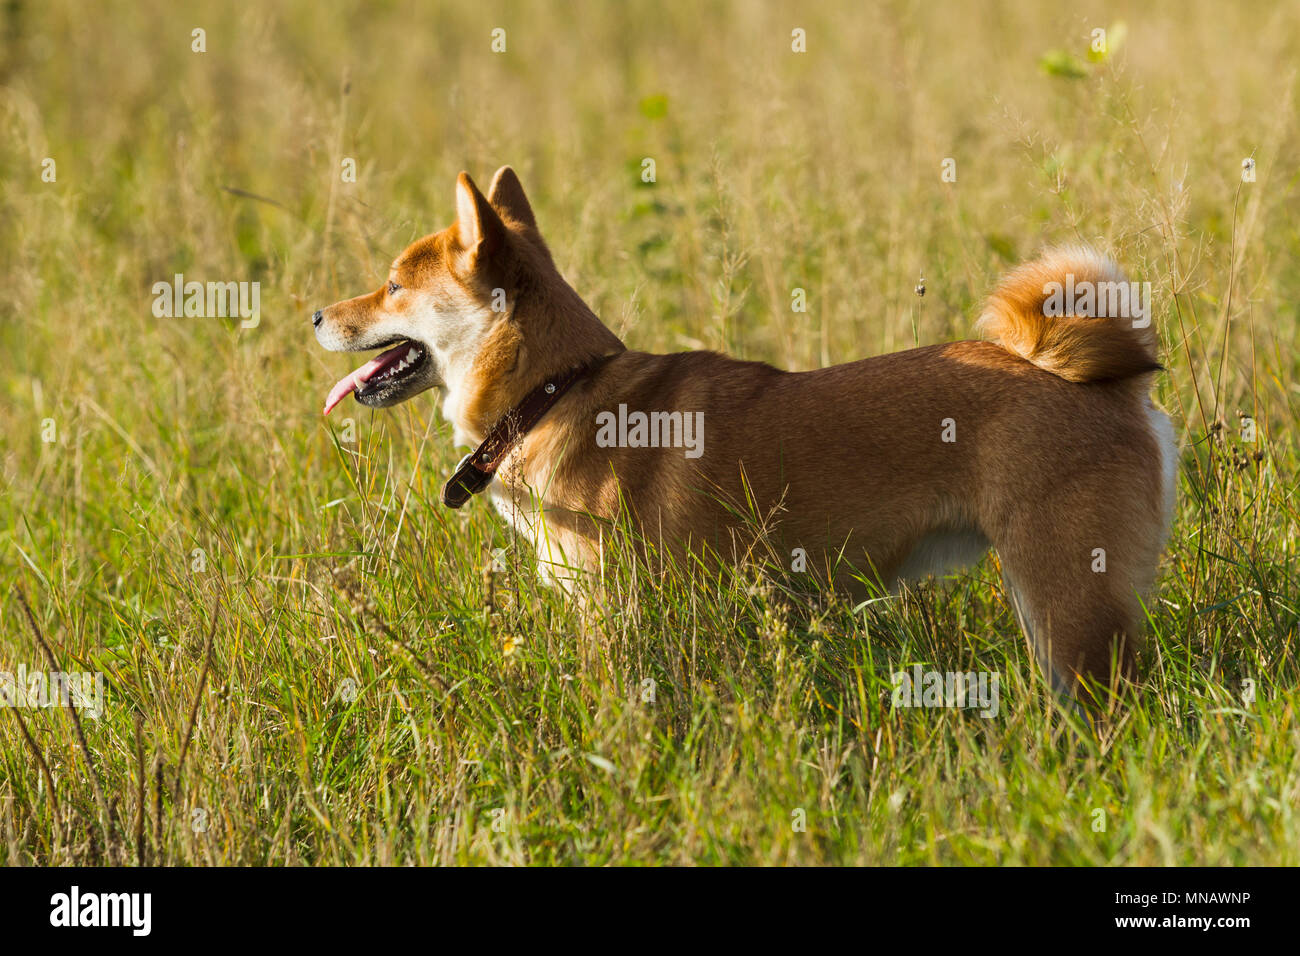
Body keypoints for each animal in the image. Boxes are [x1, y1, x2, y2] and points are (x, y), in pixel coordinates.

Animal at [314, 167, 1180, 697]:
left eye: (391, 286)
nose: (317, 315)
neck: (556, 392)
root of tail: (1109, 385)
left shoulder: (614, 620)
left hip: (1068, 607)